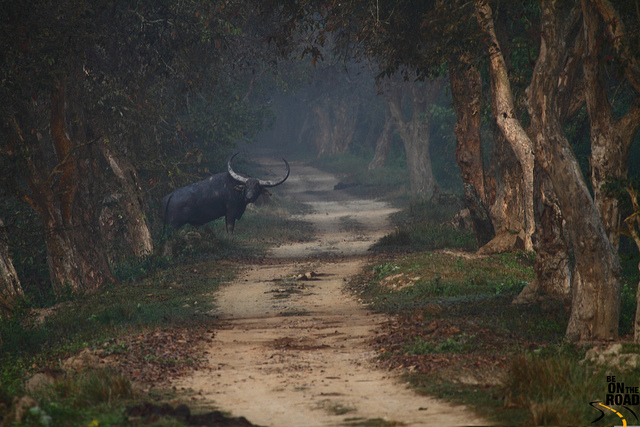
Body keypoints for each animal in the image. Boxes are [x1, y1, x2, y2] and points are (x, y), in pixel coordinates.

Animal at [162, 154, 290, 234]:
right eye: (246, 186)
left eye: (257, 187)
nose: (249, 197)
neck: (237, 191)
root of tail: (169, 196)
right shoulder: (230, 212)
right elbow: (230, 229)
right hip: (173, 225)